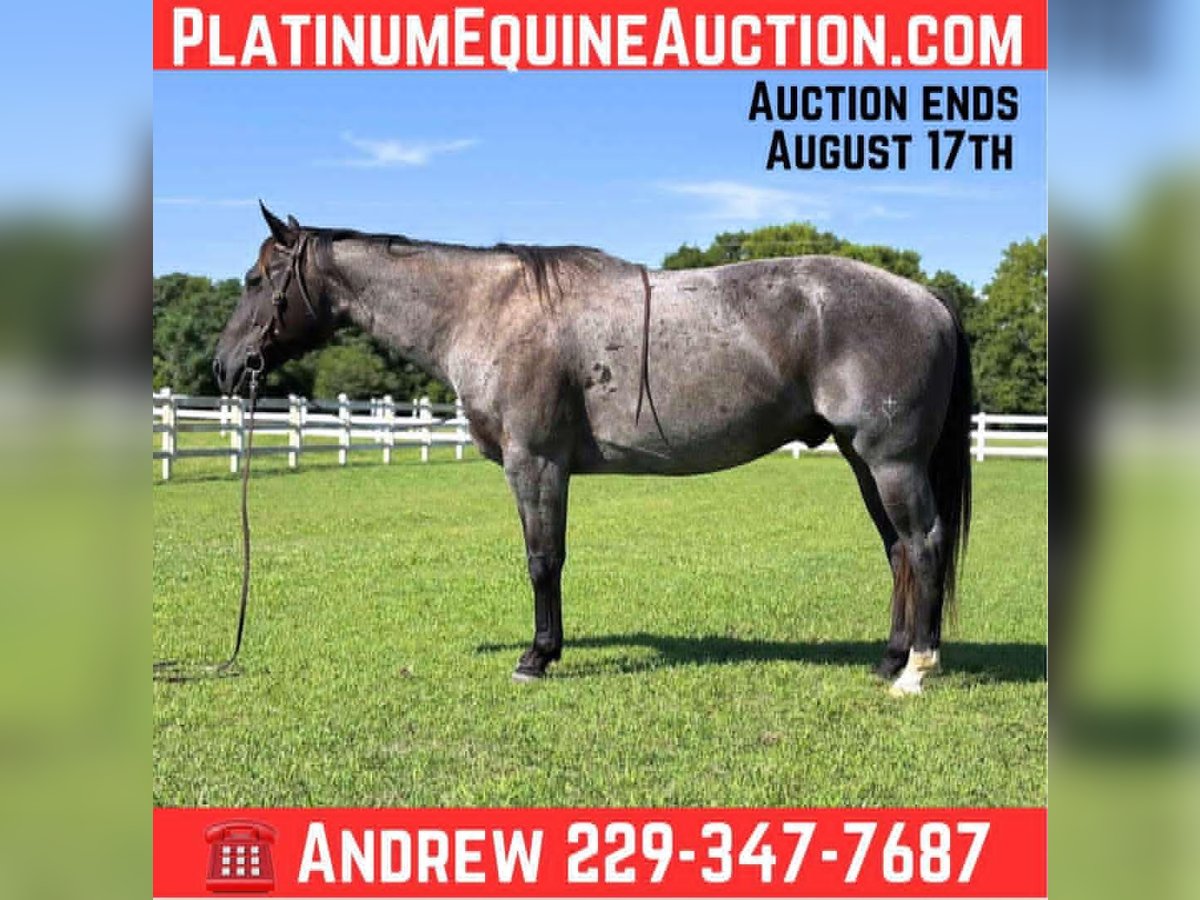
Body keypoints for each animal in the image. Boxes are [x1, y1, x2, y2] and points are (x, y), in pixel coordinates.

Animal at [213, 203, 972, 696]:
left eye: (255, 281)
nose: (224, 368)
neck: (487, 310)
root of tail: (926, 296)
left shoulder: (536, 463)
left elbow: (543, 559)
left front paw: (537, 657)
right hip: (862, 460)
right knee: (899, 551)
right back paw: (889, 659)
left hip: (891, 462)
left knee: (924, 544)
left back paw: (917, 670)